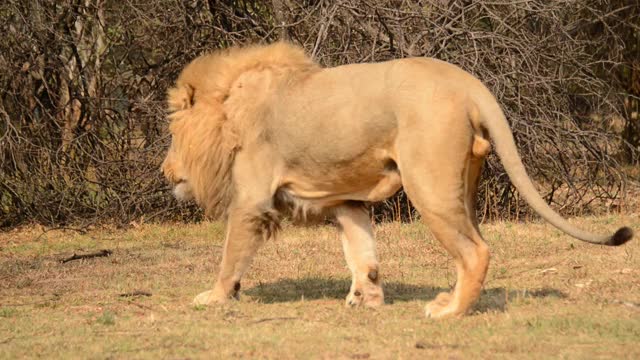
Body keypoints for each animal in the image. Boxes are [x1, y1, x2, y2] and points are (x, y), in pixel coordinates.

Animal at [162, 41, 632, 318]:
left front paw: (214, 297)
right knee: (470, 247)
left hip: (428, 184)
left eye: (172, 135)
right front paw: (366, 298)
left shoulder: (252, 198)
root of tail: (469, 82)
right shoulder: (344, 200)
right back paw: (449, 301)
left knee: (476, 251)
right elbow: (361, 251)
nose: (165, 170)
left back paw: (449, 313)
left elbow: (230, 256)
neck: (227, 111)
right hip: (462, 184)